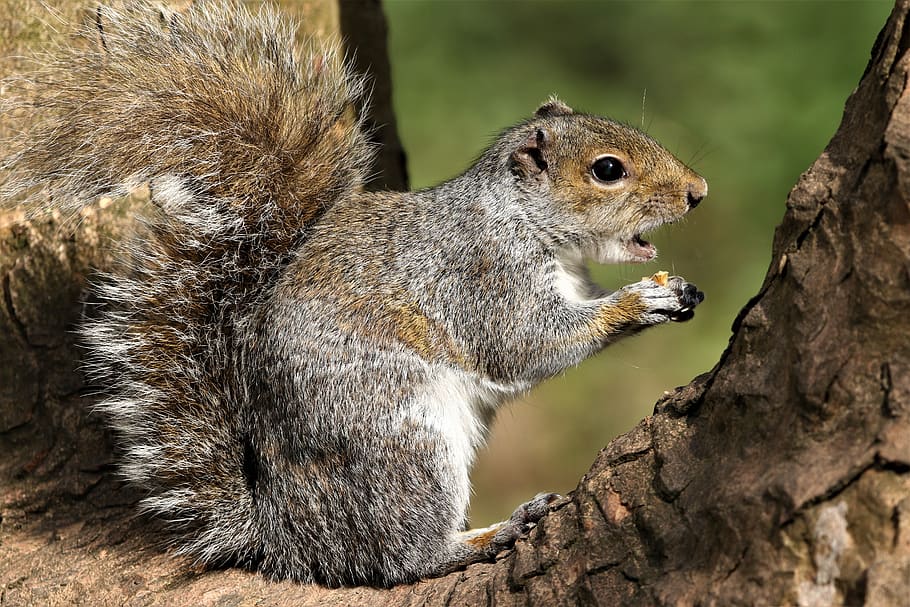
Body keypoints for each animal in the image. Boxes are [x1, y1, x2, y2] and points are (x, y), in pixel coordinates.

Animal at [0, 0, 706, 587]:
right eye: (607, 170)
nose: (697, 191)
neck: (523, 222)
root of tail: (287, 534)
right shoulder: (481, 277)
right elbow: (525, 346)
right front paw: (639, 302)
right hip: (406, 442)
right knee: (401, 559)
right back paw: (486, 535)